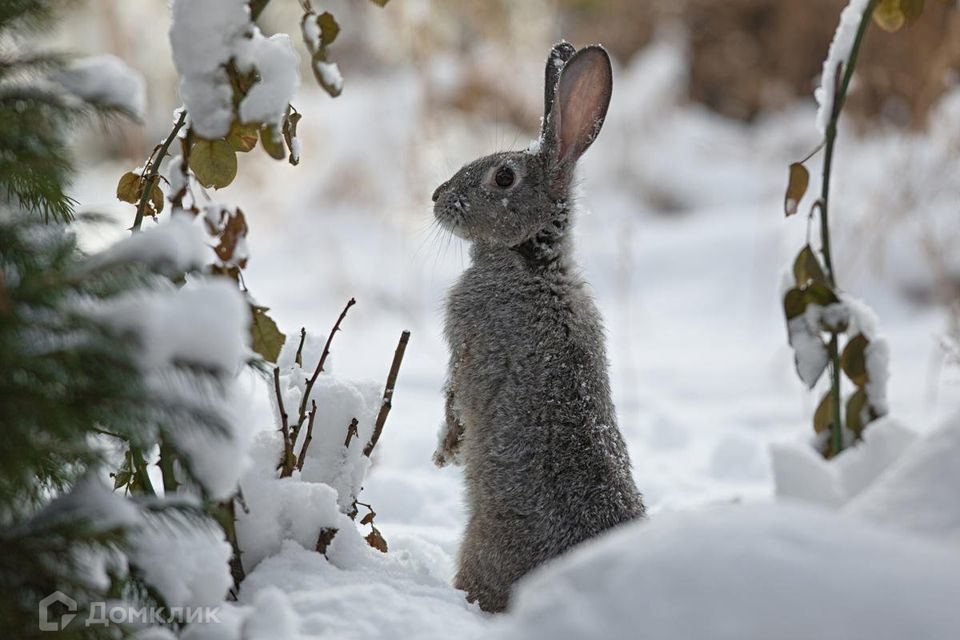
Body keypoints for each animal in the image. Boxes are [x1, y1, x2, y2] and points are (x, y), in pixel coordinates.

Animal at [434, 42, 644, 612]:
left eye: (503, 178)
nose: (436, 197)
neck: (531, 261)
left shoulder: (468, 345)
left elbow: (455, 399)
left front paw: (445, 451)